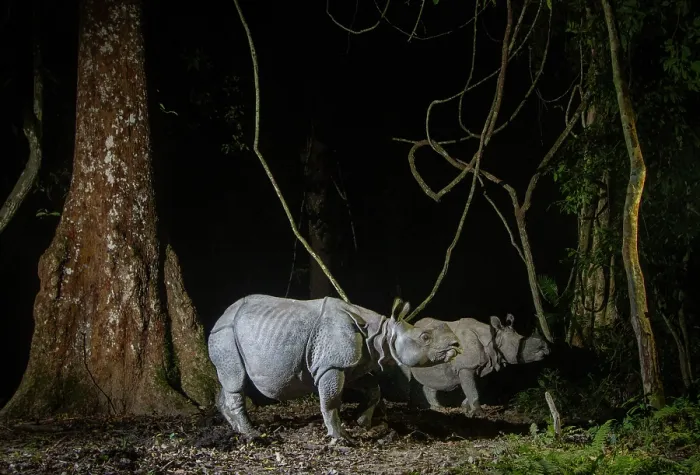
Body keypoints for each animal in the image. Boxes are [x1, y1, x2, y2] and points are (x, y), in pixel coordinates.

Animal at [207, 294, 461, 443]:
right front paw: (341, 439)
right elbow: (331, 401)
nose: (456, 345)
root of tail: (219, 318)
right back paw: (253, 435)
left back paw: (236, 428)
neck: (380, 333)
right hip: (225, 333)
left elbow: (373, 388)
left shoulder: (352, 364)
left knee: (233, 381)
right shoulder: (331, 366)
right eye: (425, 337)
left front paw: (362, 422)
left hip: (231, 335)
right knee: (236, 382)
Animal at [402, 314, 550, 416]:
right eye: (520, 343)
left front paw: (466, 408)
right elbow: (472, 389)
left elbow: (475, 388)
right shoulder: (466, 367)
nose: (545, 348)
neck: (494, 339)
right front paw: (478, 413)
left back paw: (437, 408)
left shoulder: (483, 368)